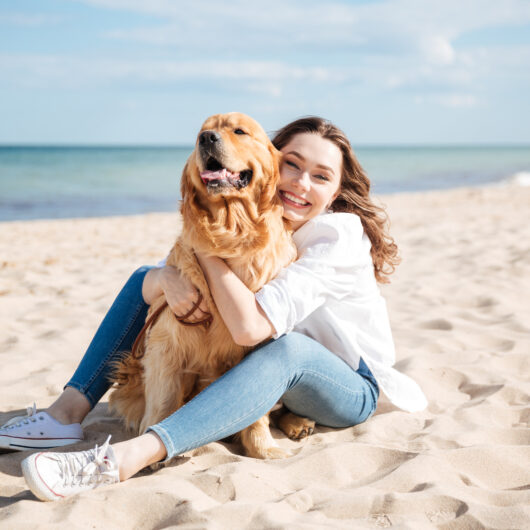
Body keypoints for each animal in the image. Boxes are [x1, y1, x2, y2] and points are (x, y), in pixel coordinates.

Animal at [108, 110, 314, 454]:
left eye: (239, 131)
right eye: (200, 134)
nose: (207, 139)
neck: (232, 231)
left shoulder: (260, 340)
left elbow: (258, 411)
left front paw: (262, 447)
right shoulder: (167, 342)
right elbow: (163, 402)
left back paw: (298, 422)